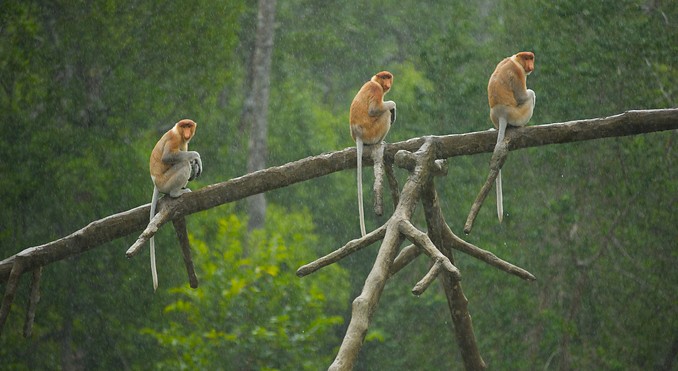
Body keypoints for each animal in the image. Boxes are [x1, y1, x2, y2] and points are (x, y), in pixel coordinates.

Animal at [149, 119, 202, 290]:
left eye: (189, 126)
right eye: (183, 126)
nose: (187, 132)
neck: (178, 133)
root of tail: (156, 184)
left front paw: (196, 164)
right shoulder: (175, 139)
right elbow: (168, 157)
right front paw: (196, 157)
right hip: (166, 181)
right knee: (183, 163)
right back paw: (177, 193)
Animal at [354, 71, 396, 237]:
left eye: (389, 77)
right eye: (384, 77)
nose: (388, 83)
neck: (375, 82)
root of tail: (358, 136)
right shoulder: (376, 89)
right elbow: (374, 110)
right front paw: (393, 105)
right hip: (372, 132)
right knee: (384, 114)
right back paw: (380, 142)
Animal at [488, 52, 536, 224]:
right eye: (527, 58)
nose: (531, 65)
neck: (515, 60)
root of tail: (502, 113)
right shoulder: (518, 73)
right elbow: (523, 96)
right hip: (518, 115)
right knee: (531, 95)